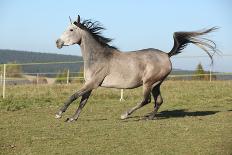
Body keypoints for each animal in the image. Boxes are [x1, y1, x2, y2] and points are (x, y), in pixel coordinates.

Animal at [55, 15, 218, 122]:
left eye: (71, 29)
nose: (57, 42)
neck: (99, 57)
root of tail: (166, 55)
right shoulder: (90, 84)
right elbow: (83, 101)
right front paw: (72, 118)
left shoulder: (92, 83)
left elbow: (74, 96)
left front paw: (59, 113)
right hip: (156, 84)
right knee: (158, 101)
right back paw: (149, 117)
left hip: (148, 83)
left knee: (146, 100)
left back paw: (125, 114)